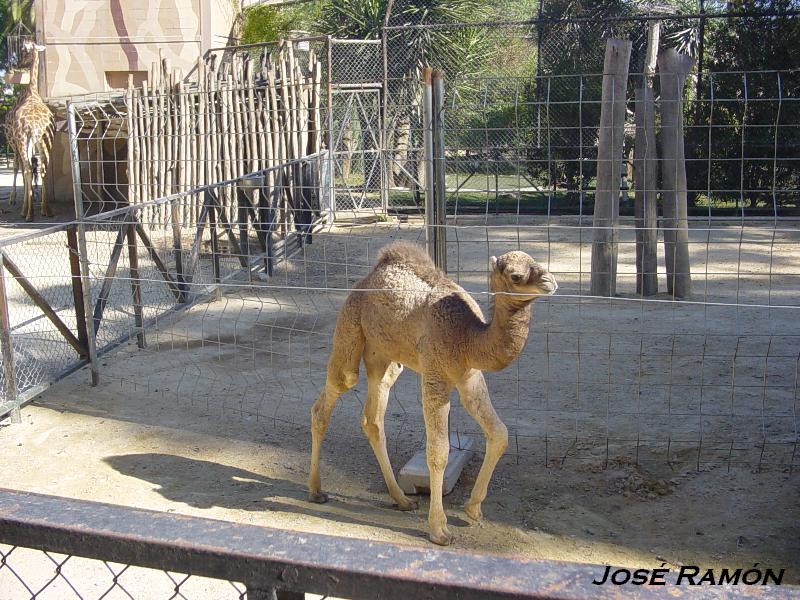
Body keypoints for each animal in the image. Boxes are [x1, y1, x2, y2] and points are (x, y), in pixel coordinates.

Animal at [9, 41, 54, 220]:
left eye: (24, 51)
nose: (19, 63)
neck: (32, 93)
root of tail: (33, 126)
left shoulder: (17, 141)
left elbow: (23, 168)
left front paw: (24, 208)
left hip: (23, 140)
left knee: (27, 168)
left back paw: (28, 213)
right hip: (43, 140)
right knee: (42, 168)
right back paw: (46, 210)